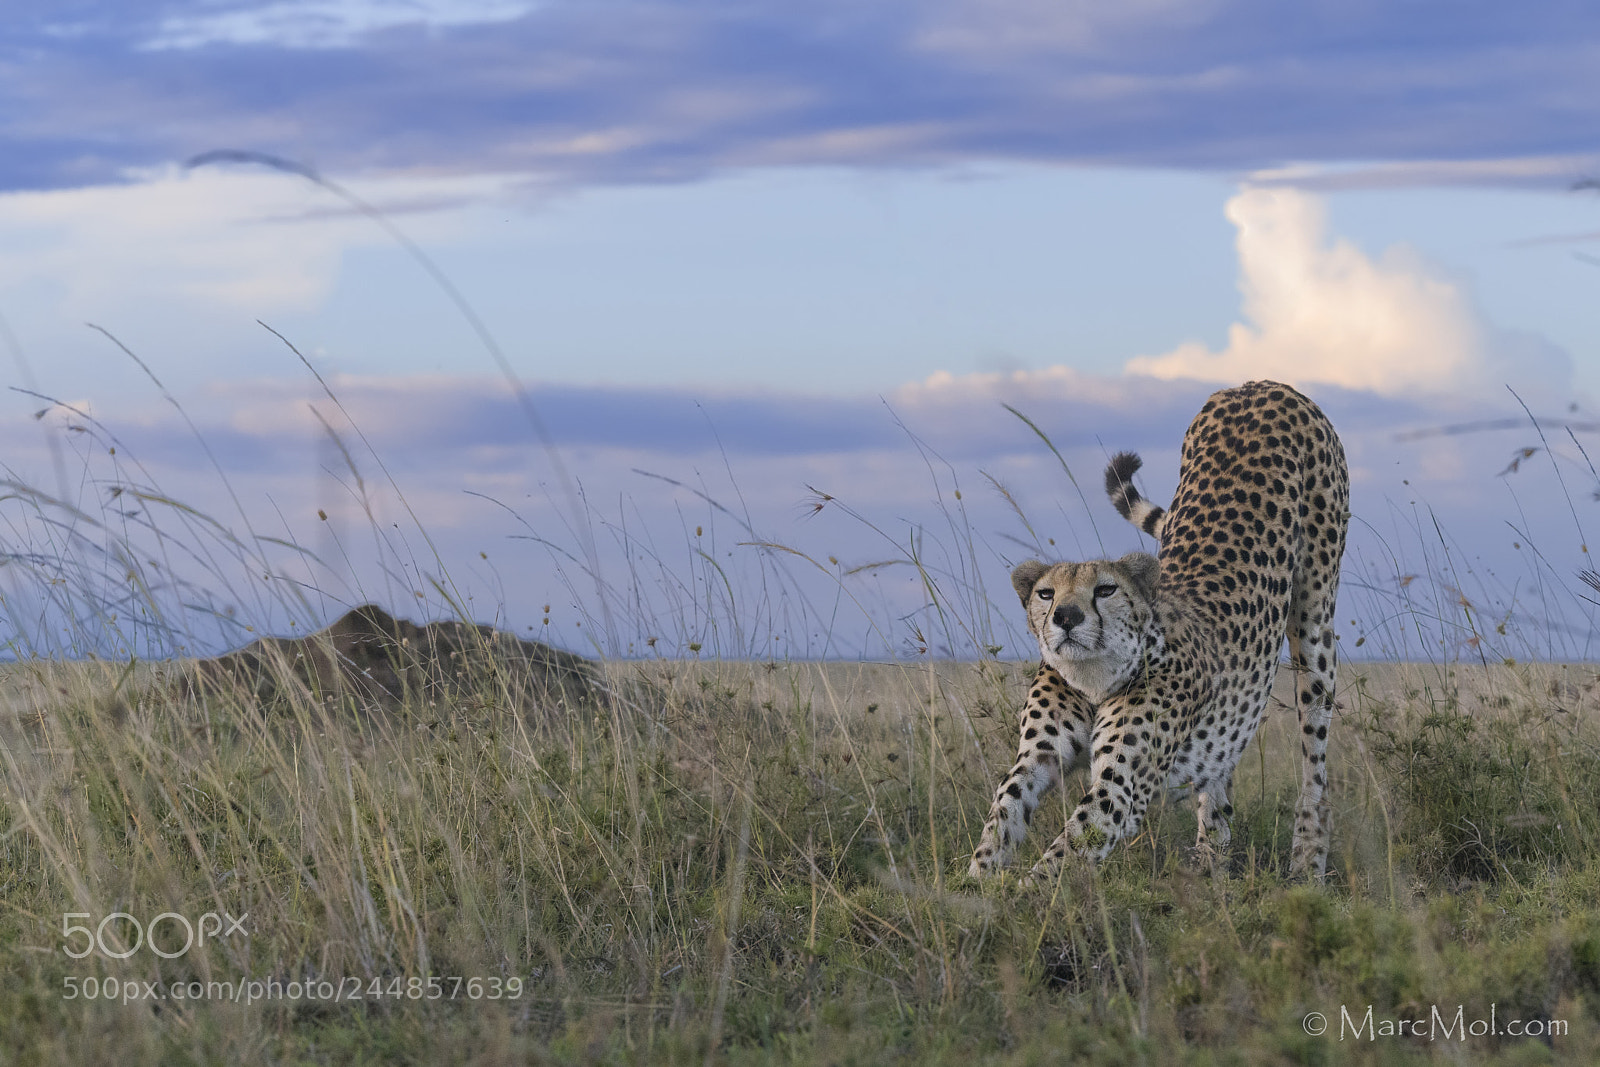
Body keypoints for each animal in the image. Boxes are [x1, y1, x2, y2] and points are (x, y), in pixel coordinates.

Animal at [969, 380, 1349, 884]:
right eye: (1046, 594)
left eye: (1105, 589)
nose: (1066, 617)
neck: (1095, 678)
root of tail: (1260, 384)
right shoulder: (1035, 761)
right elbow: (1002, 816)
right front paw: (971, 883)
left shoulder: (1121, 788)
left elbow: (1065, 852)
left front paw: (1021, 893)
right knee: (1220, 772)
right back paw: (1212, 858)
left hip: (1314, 623)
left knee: (1314, 766)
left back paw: (1307, 860)